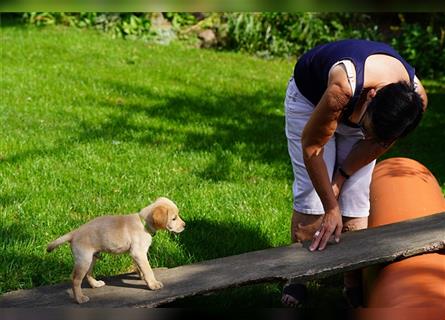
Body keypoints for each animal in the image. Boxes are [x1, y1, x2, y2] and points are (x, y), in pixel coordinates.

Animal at [48, 196, 186, 304]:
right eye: (174, 218)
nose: (185, 225)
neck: (144, 223)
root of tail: (74, 233)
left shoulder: (135, 254)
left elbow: (140, 267)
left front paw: (142, 277)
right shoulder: (139, 253)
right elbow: (148, 270)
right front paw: (153, 284)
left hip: (92, 258)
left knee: (88, 274)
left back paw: (95, 284)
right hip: (84, 260)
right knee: (75, 279)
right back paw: (80, 298)